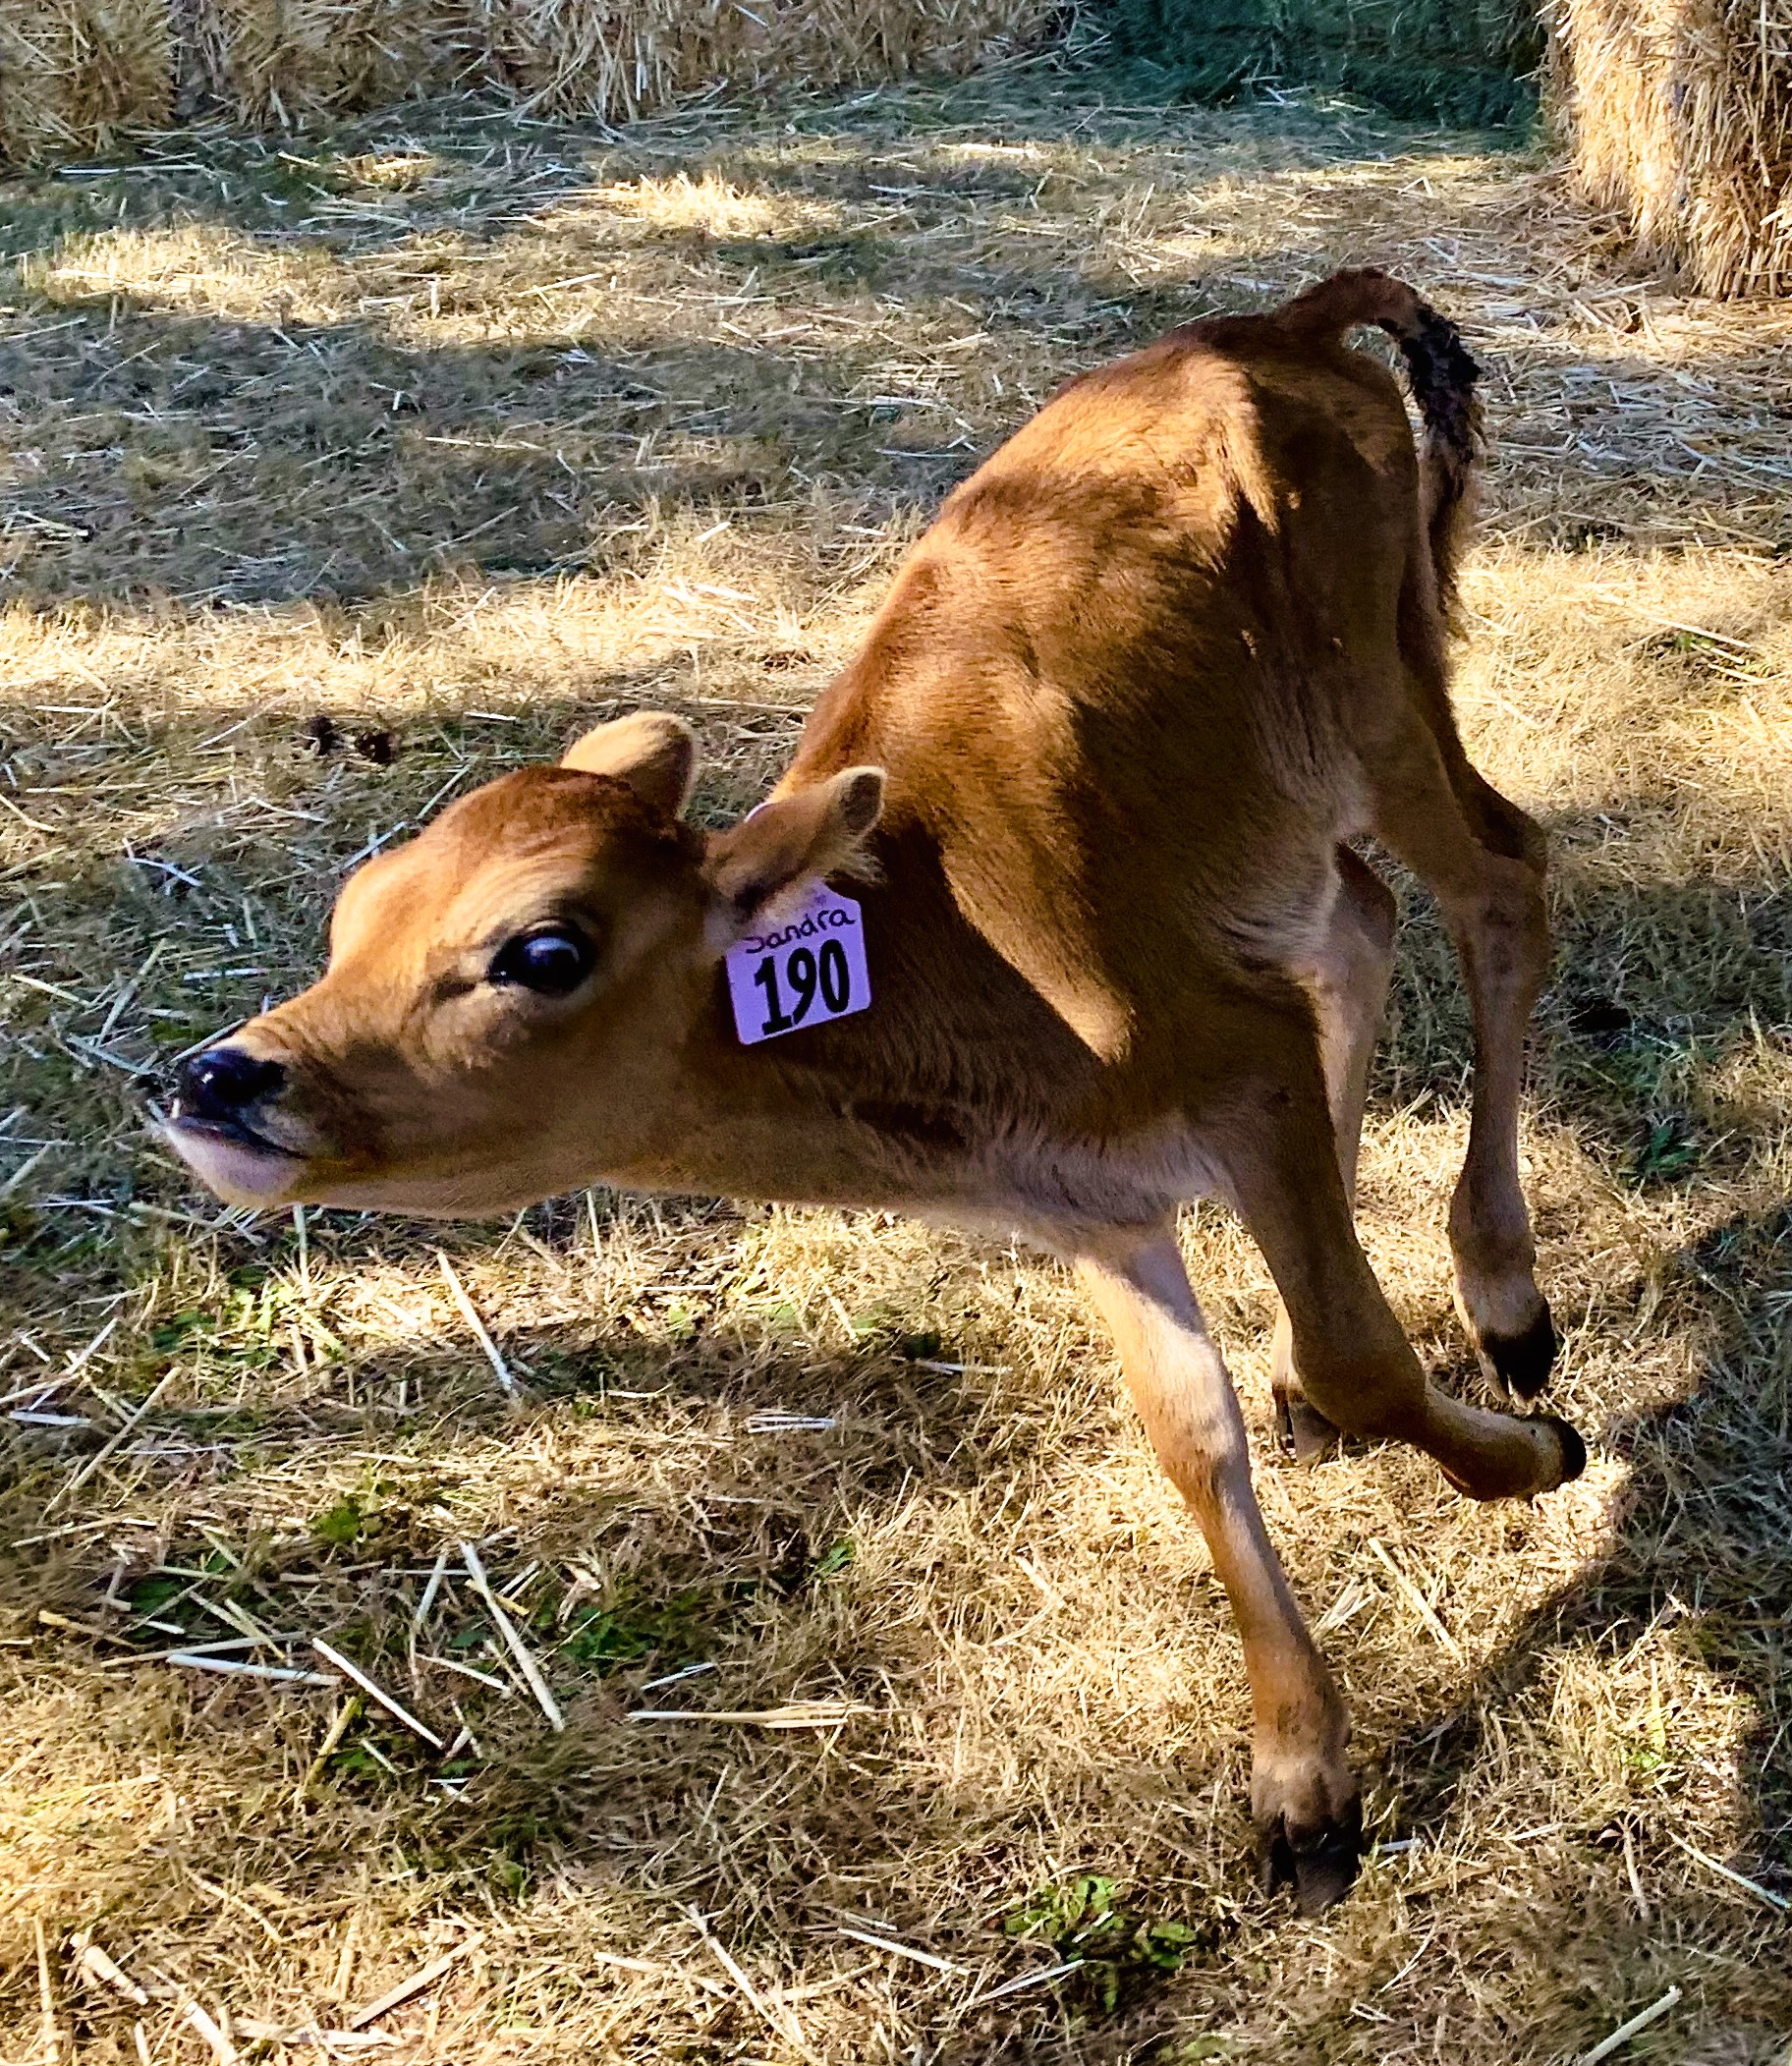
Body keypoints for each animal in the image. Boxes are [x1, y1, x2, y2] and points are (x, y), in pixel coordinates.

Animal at [164, 270, 1584, 1911]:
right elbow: (1192, 1431)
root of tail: (1271, 322)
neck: (956, 971)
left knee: (1499, 878)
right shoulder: (1097, 1203)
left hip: (1384, 688)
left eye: (543, 947)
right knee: (1359, 919)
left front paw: (1533, 1454)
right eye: (355, 908)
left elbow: (1361, 1350)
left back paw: (1505, 1294)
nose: (216, 1076)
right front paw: (1300, 1775)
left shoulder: (1243, 1060)